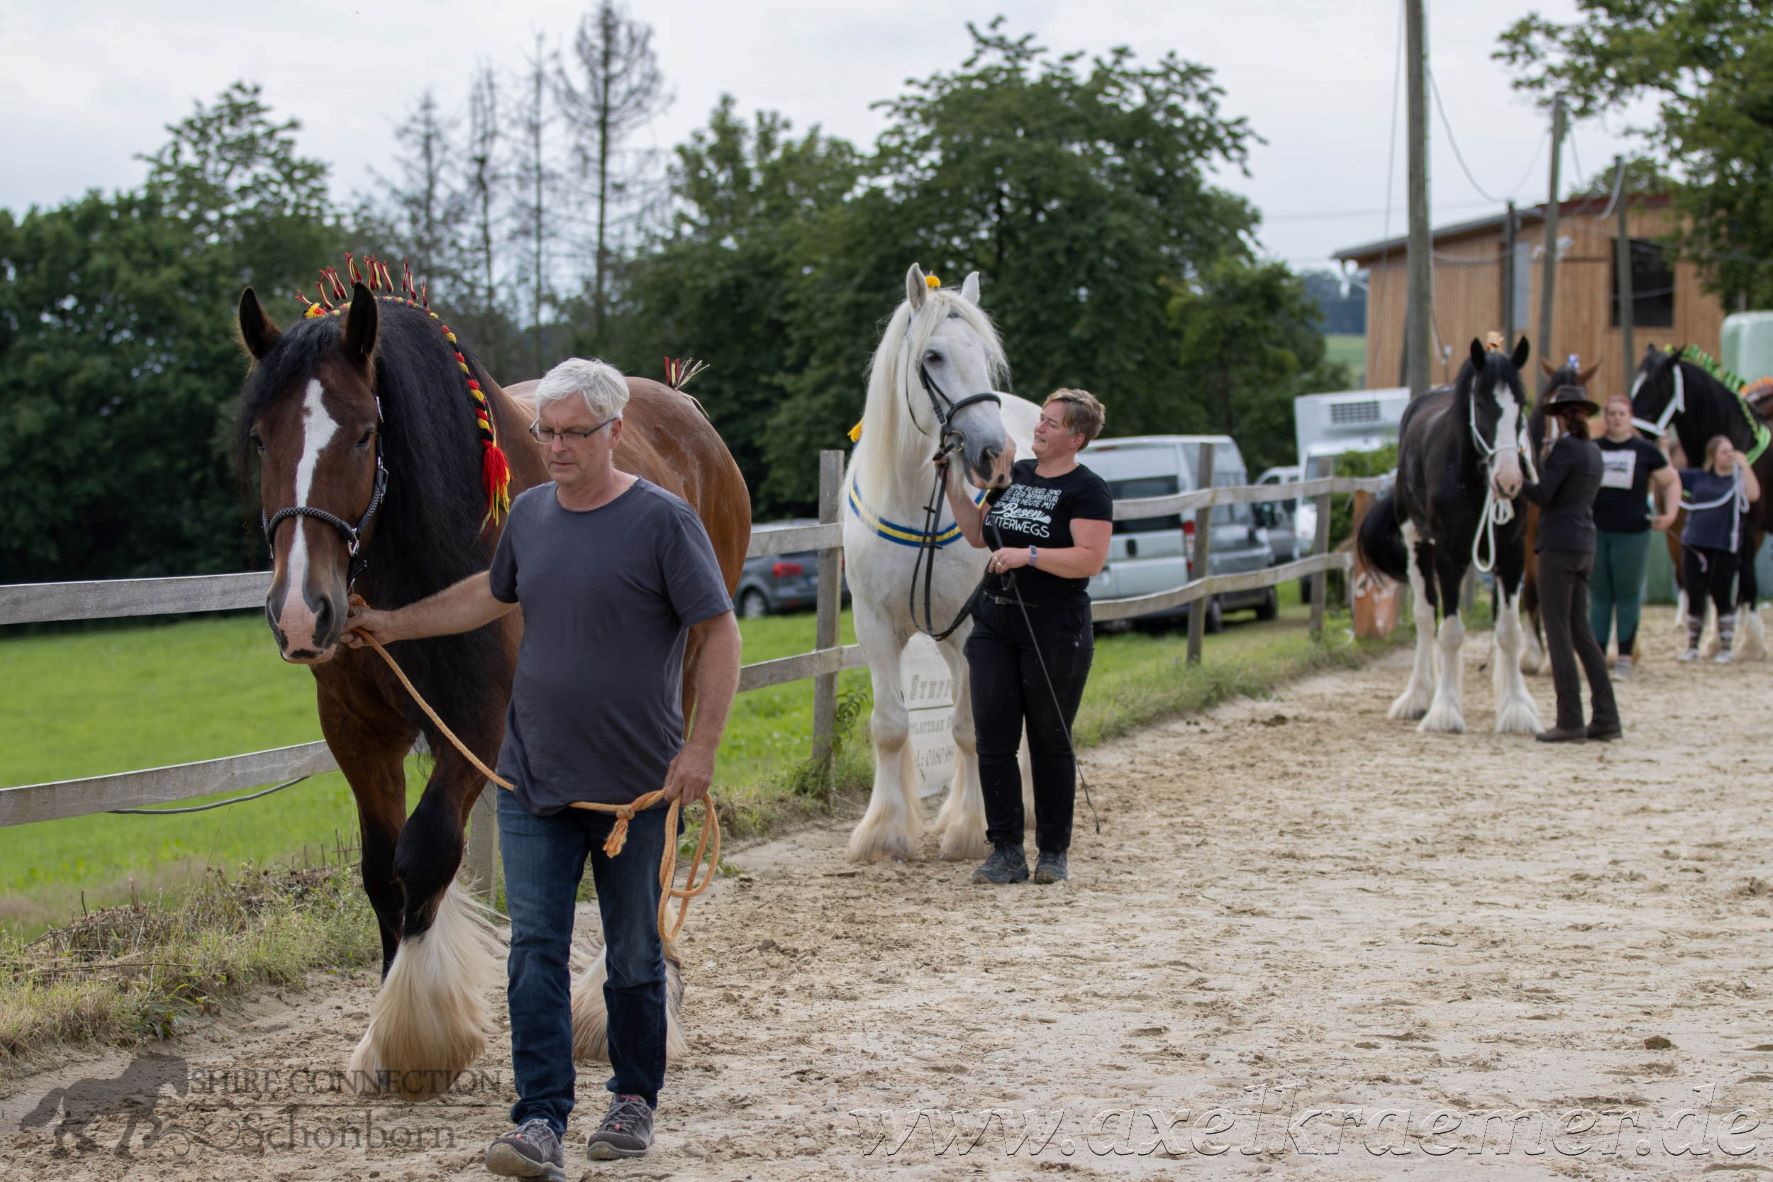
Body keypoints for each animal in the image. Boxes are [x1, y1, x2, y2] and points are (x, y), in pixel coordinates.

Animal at [234, 260, 748, 1098]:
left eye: (365, 432)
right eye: (259, 438)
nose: (302, 614)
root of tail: (683, 407)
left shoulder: (477, 726)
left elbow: (426, 853)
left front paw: (418, 1032)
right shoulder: (358, 736)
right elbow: (380, 871)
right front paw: (385, 1030)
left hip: (679, 685)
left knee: (658, 826)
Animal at [843, 264, 1035, 864]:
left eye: (985, 354)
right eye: (933, 356)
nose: (995, 454)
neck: (911, 497)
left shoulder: (975, 626)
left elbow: (972, 729)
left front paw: (972, 829)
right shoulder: (875, 626)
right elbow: (890, 727)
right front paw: (884, 832)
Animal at [1361, 336, 1546, 733]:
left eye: (1520, 404)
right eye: (1481, 404)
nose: (1509, 480)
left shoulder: (1511, 556)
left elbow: (1509, 631)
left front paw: (1516, 709)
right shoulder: (1448, 557)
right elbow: (1449, 633)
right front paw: (1444, 711)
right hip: (1418, 545)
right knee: (1425, 617)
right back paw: (1417, 696)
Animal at [1624, 342, 1765, 662]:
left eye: (1653, 387)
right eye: (1635, 385)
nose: (1631, 434)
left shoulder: (1748, 528)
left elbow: (1746, 582)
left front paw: (1751, 644)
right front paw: (1715, 641)